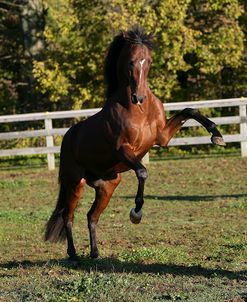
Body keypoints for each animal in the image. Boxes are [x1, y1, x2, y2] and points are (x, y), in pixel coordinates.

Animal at [44, 26, 226, 260]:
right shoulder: (124, 149)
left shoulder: (162, 137)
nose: (138, 97)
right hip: (76, 183)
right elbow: (142, 172)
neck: (139, 111)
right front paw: (136, 213)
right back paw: (73, 254)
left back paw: (95, 253)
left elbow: (189, 111)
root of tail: (68, 137)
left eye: (148, 60)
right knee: (69, 216)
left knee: (91, 216)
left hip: (108, 186)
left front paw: (216, 135)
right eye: (130, 62)